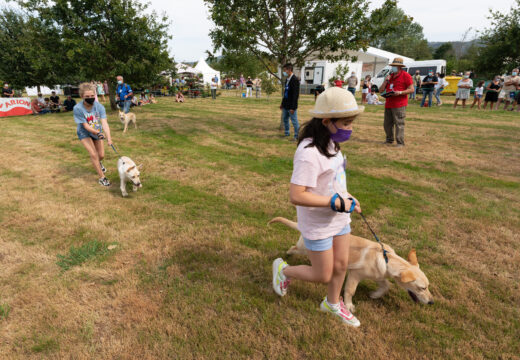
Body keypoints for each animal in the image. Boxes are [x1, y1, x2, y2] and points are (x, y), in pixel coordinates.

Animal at [270, 217, 432, 312]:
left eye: (427, 286)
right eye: (421, 288)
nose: (432, 302)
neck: (387, 258)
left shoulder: (378, 275)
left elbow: (386, 285)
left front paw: (375, 295)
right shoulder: (355, 274)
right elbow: (350, 291)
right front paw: (348, 305)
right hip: (303, 248)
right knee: (293, 248)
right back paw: (286, 257)